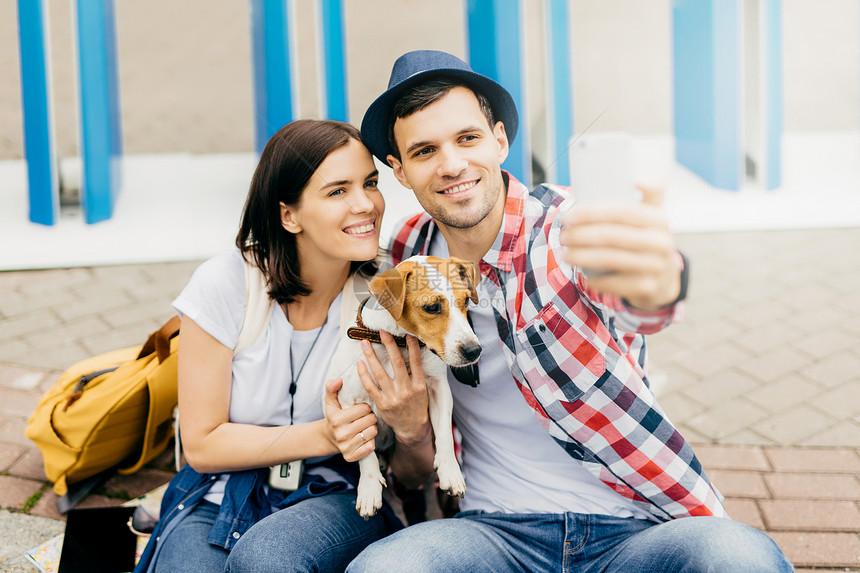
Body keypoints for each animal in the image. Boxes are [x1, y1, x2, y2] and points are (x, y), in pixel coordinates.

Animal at [326, 256, 480, 516]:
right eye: (432, 307)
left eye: (467, 300)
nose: (474, 351)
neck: (401, 344)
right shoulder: (349, 403)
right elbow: (364, 449)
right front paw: (369, 488)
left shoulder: (439, 389)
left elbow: (444, 434)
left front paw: (450, 470)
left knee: (426, 488)